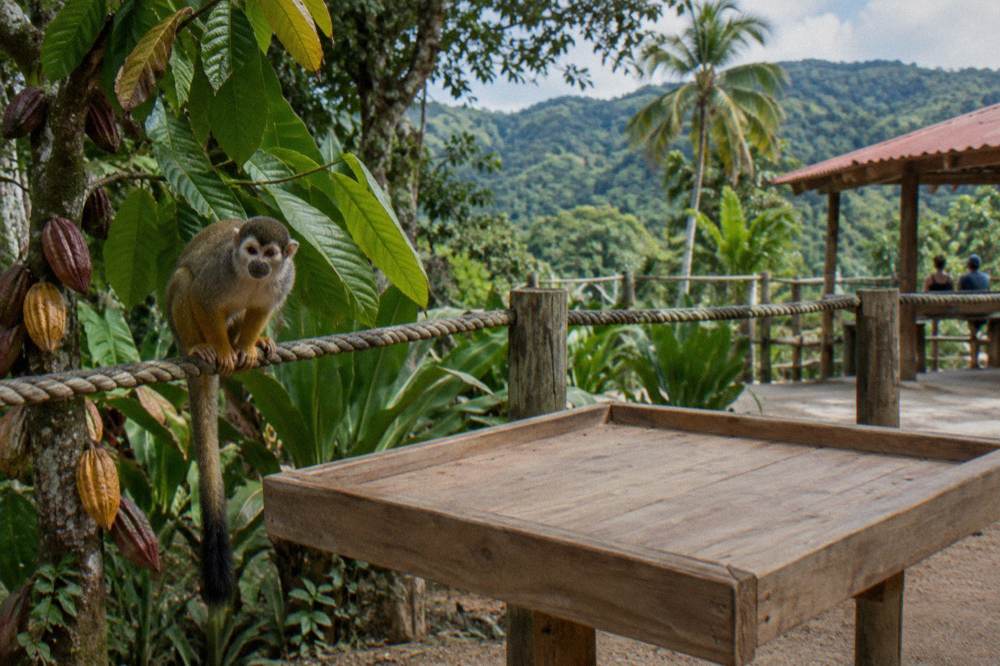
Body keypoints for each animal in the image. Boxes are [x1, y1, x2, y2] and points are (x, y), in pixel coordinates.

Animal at [165, 216, 298, 608]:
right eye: (251, 251)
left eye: (270, 254)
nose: (258, 265)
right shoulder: (219, 272)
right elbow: (203, 298)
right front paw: (224, 352)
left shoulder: (286, 277)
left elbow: (261, 310)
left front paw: (248, 348)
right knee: (185, 280)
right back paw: (201, 348)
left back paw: (256, 343)